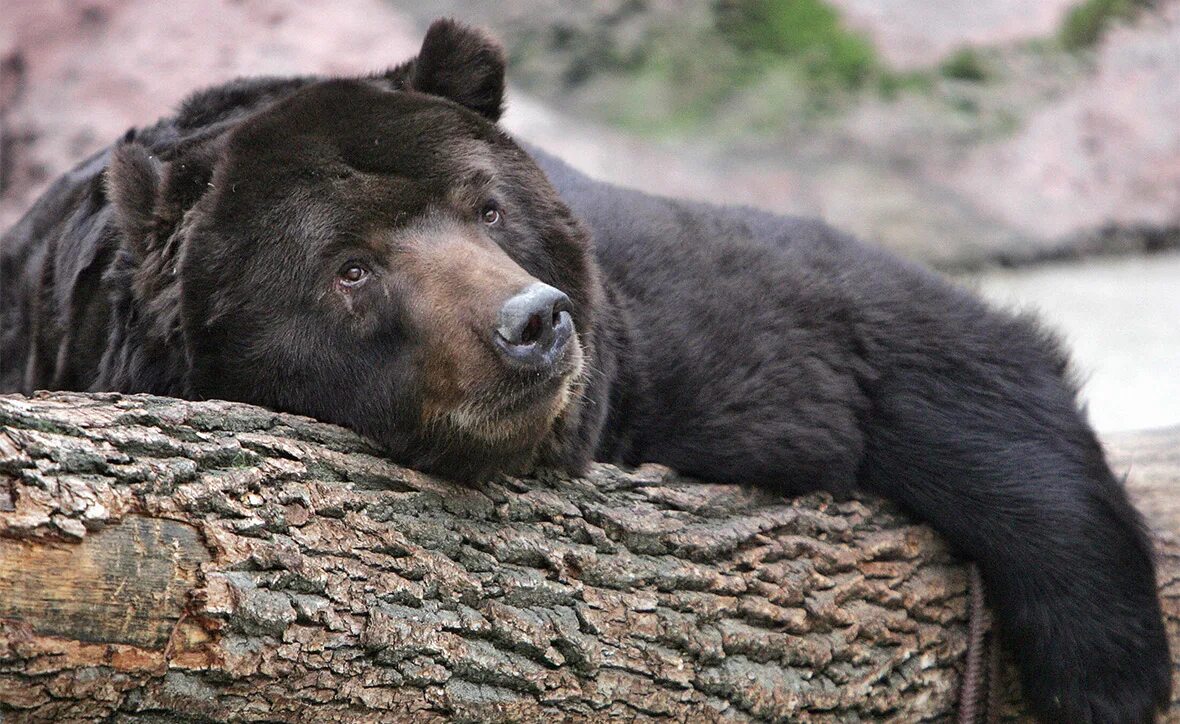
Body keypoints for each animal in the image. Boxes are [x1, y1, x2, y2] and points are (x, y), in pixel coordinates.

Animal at [0, 19, 1165, 721]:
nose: (531, 324)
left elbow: (891, 342)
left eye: (485, 206)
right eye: (349, 268)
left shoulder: (656, 336)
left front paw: (1108, 671)